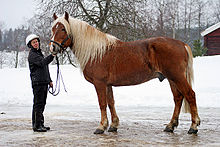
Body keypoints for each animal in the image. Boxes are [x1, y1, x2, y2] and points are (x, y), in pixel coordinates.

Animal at [50, 12, 201, 134]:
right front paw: (113, 125)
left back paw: (193, 127)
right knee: (178, 98)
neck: (96, 52)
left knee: (190, 95)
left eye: (63, 29)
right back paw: (170, 126)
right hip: (171, 79)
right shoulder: (108, 84)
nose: (53, 48)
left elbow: (102, 103)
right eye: (53, 28)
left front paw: (101, 127)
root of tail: (182, 44)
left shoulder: (99, 83)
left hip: (177, 77)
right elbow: (111, 103)